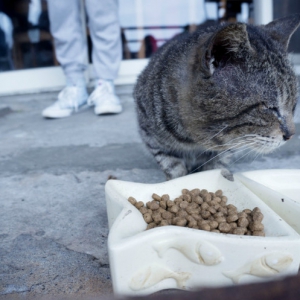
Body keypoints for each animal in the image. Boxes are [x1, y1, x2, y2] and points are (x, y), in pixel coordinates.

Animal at [134, 14, 300, 180]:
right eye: (269, 107)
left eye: (294, 106)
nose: (291, 135)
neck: (192, 139)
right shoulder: (151, 136)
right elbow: (172, 166)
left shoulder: (226, 148)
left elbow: (216, 164)